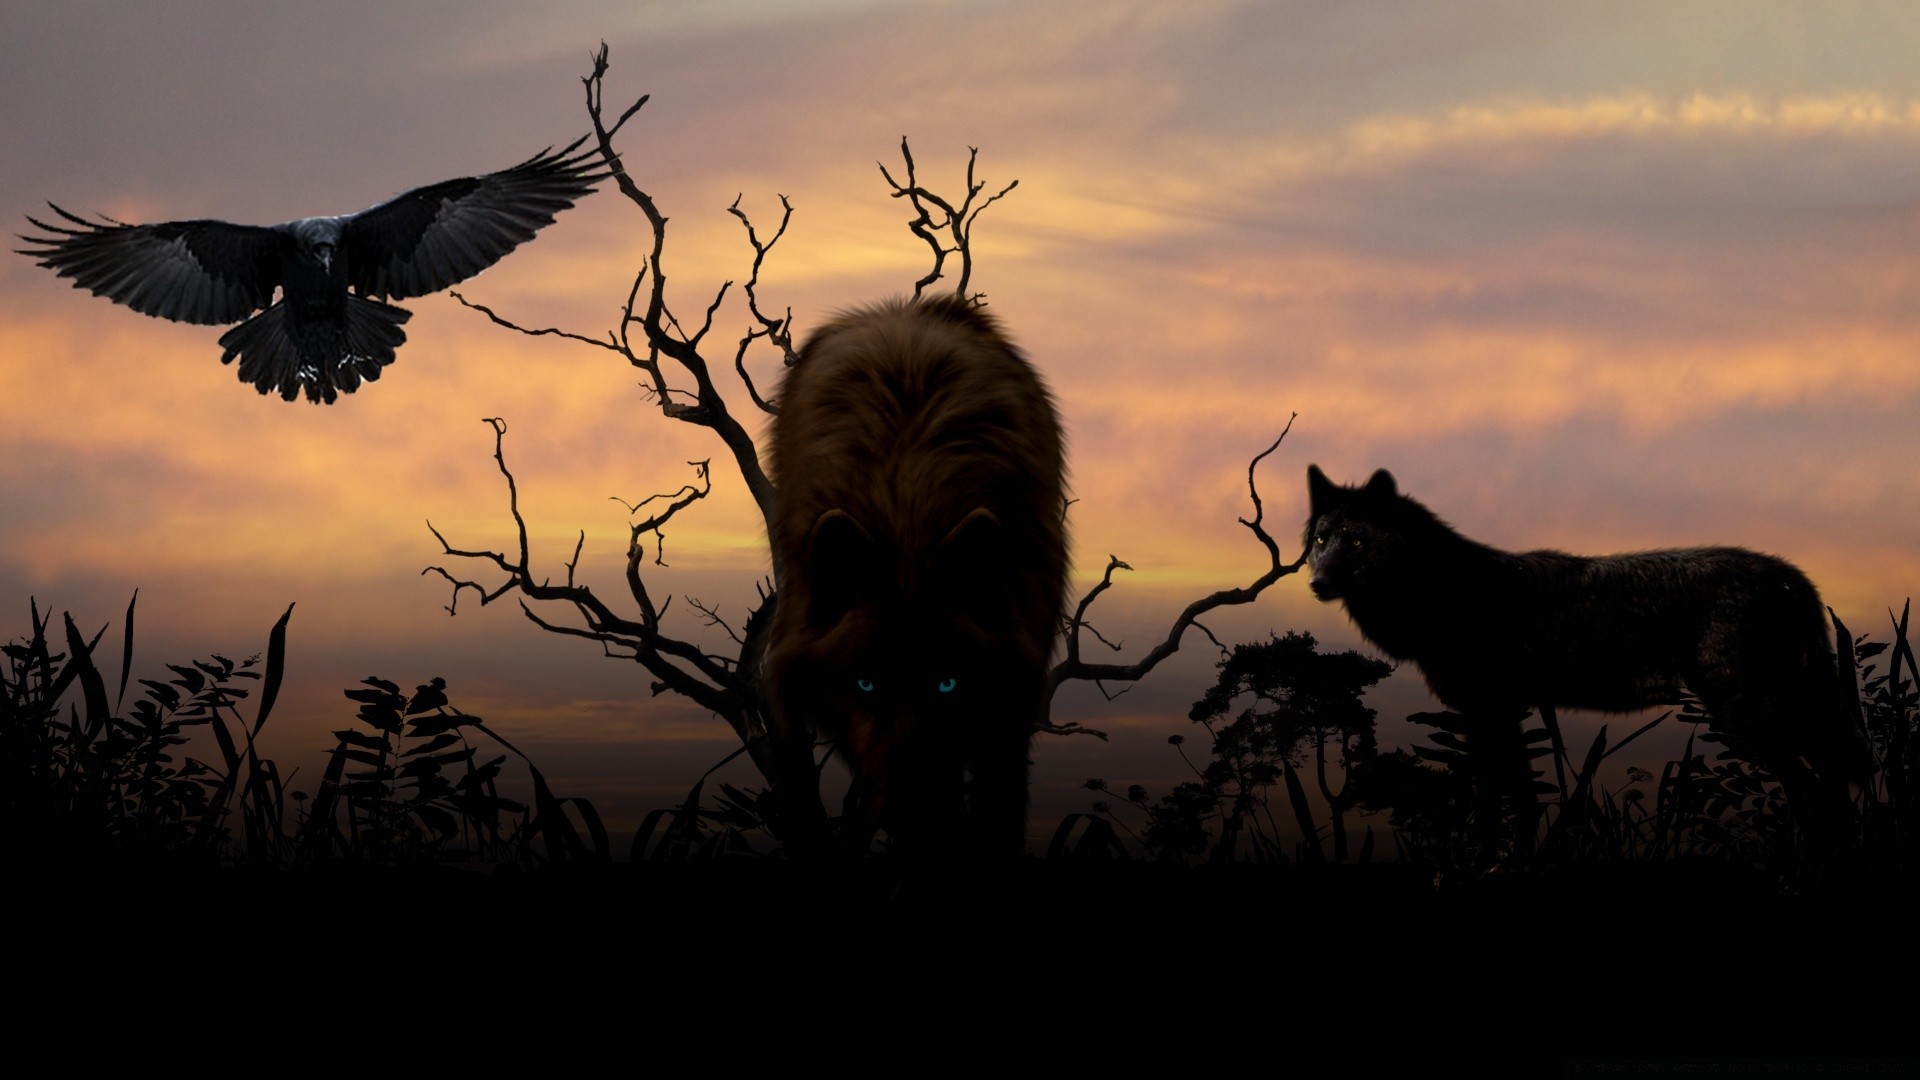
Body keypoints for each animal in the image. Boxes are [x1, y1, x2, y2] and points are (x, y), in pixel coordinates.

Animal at [760, 295, 1067, 857]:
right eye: (865, 683)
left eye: (947, 683)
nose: (914, 816)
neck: (907, 507)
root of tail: (903, 309)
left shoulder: (1013, 702)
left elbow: (998, 807)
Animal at [1305, 463, 1873, 822]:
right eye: (1320, 540)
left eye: (1356, 540)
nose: (1317, 582)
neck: (1442, 592)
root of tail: (1794, 578)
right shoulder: (1500, 712)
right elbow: (1520, 800)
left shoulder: (1487, 710)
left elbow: (1496, 802)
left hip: (1750, 717)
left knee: (1817, 796)